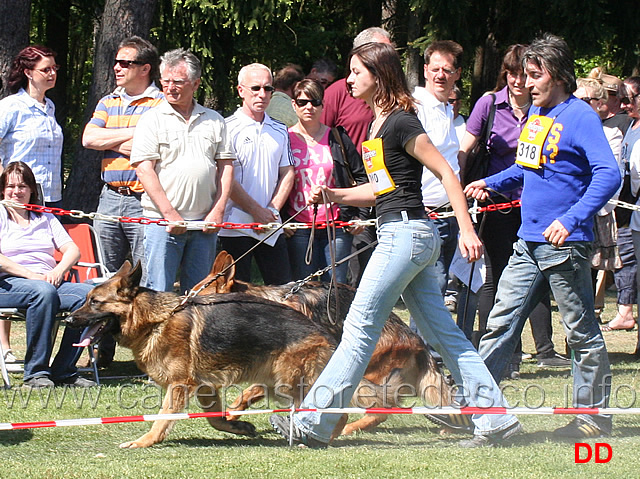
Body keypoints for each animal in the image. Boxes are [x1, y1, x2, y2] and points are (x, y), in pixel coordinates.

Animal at [67, 260, 388, 448]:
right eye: (87, 299)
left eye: (94, 302)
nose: (68, 320)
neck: (156, 319)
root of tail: (327, 332)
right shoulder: (205, 387)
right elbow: (214, 418)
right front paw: (239, 426)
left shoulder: (179, 386)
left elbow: (162, 418)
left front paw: (145, 441)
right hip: (278, 385)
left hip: (290, 384)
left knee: (337, 411)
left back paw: (324, 436)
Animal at [194, 253, 450, 436]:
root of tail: (418, 344)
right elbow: (249, 393)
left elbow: (250, 390)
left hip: (363, 373)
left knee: (383, 409)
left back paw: (346, 429)